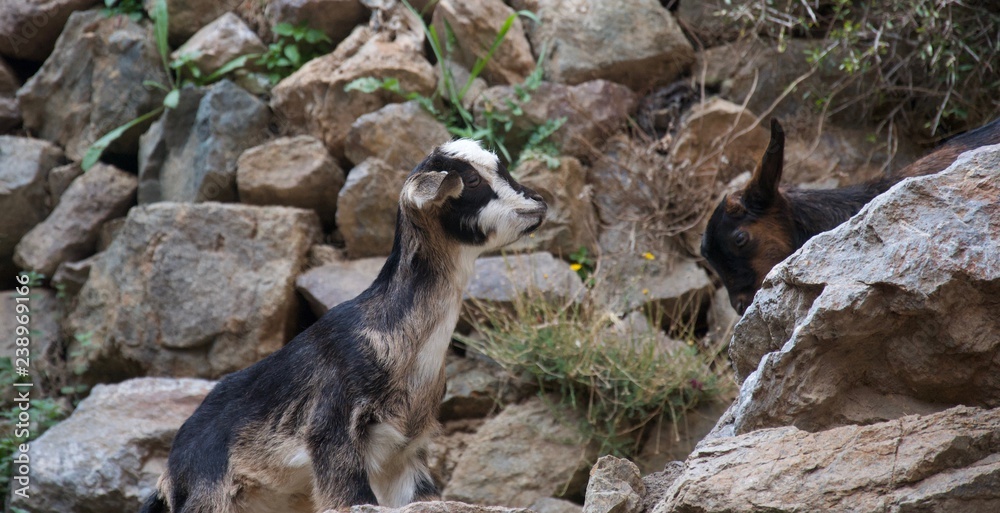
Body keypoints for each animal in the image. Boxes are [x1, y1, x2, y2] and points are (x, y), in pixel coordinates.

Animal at [140, 139, 547, 513]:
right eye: (473, 180)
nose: (539, 203)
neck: (400, 342)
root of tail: (170, 472)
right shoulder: (332, 432)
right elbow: (351, 497)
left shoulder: (404, 451)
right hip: (210, 494)